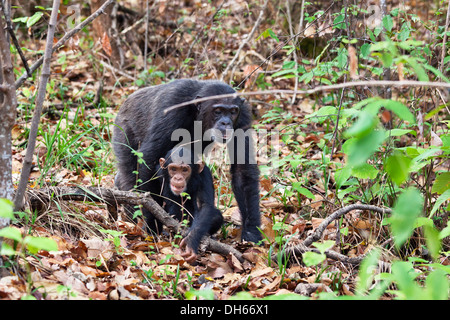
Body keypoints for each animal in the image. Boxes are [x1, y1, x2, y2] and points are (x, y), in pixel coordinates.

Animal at [111, 79, 260, 244]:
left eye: (233, 111)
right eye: (218, 111)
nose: (226, 123)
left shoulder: (243, 116)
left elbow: (242, 169)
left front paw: (251, 233)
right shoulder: (171, 111)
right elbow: (149, 158)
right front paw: (152, 224)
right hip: (123, 131)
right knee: (130, 174)